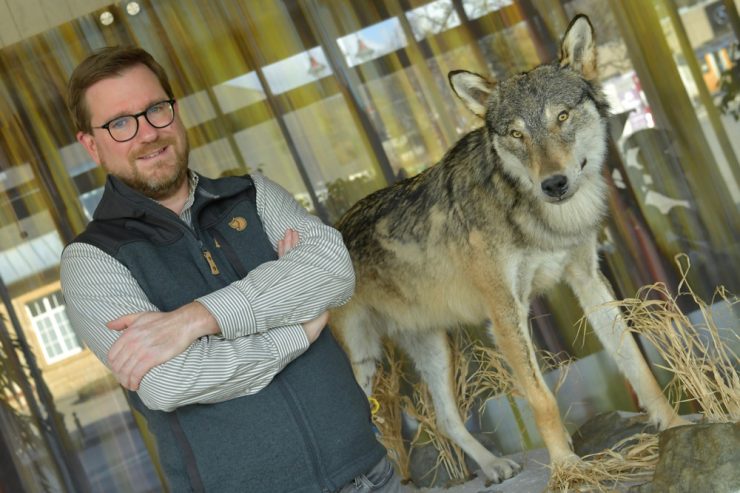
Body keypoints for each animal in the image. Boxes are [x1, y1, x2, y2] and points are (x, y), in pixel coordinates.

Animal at [331, 15, 687, 484]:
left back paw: (493, 465)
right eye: (517, 133)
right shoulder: (505, 314)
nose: (553, 184)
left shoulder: (589, 281)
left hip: (436, 349)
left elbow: (637, 364)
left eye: (562, 116)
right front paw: (568, 468)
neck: (544, 218)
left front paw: (673, 424)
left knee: (446, 419)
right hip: (362, 364)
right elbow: (542, 400)